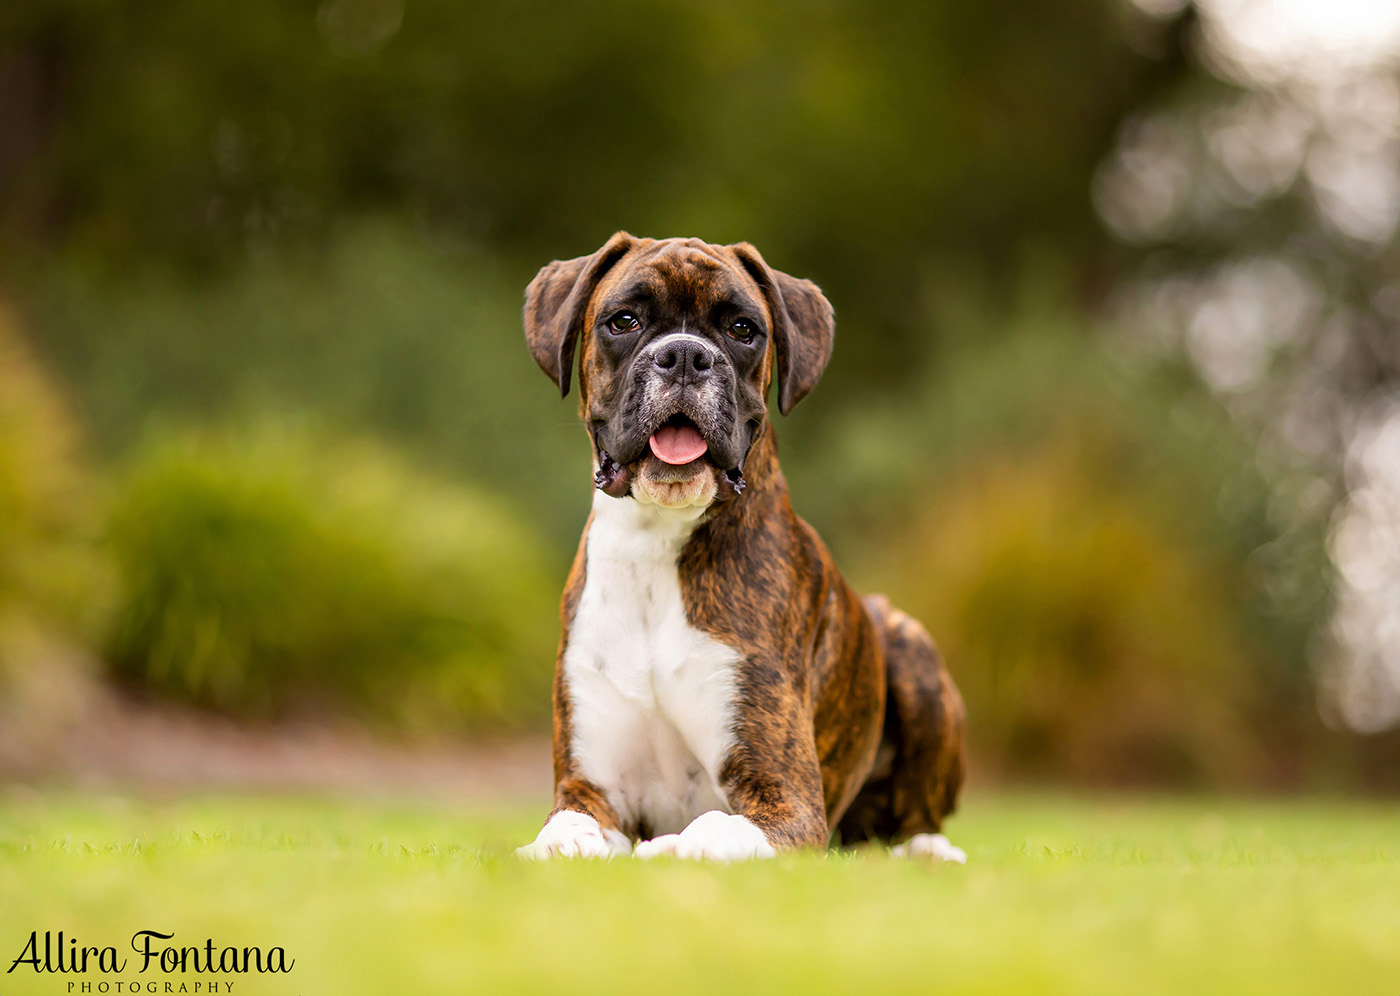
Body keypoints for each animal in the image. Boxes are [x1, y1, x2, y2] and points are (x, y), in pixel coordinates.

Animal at [520, 233, 968, 862]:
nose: (685, 356)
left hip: (914, 654)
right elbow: (565, 827)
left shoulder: (786, 797)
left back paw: (926, 848)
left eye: (742, 329)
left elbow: (714, 827)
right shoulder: (590, 788)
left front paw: (669, 849)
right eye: (623, 321)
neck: (658, 541)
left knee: (915, 817)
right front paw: (557, 848)